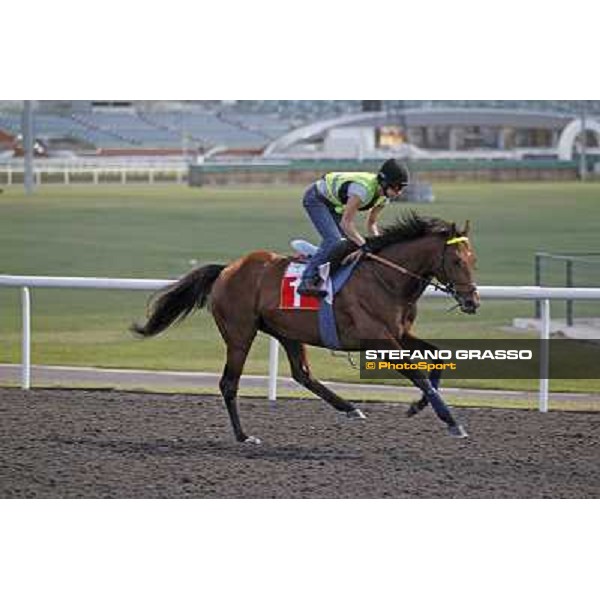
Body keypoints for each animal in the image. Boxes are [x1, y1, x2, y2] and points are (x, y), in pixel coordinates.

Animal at [131, 211, 478, 440]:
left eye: (473, 260)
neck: (386, 278)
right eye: (456, 261)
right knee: (229, 383)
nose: (472, 301)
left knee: (303, 374)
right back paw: (244, 436)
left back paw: (349, 408)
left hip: (287, 332)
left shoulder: (399, 333)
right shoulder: (378, 338)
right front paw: (452, 421)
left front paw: (419, 406)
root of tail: (228, 269)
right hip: (240, 333)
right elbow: (417, 372)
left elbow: (437, 357)